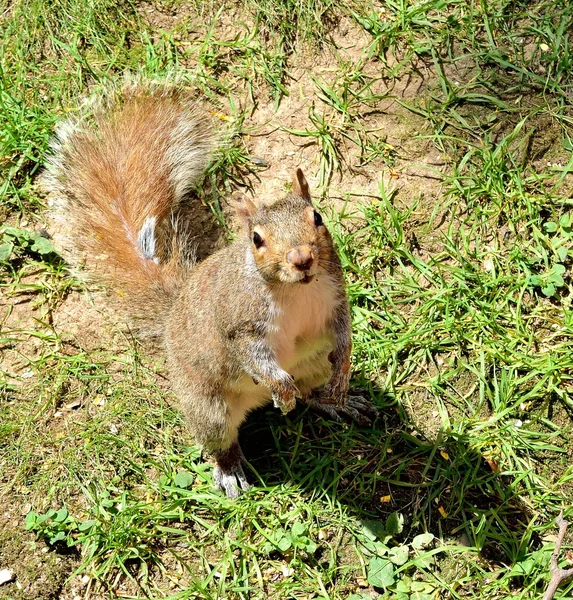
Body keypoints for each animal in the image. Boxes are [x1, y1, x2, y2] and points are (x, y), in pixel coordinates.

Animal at [42, 82, 378, 500]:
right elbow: (255, 359)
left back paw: (336, 401)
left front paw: (344, 372)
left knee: (311, 391)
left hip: (314, 363)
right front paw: (281, 390)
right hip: (208, 406)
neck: (295, 291)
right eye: (256, 239)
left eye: (317, 217)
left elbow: (344, 334)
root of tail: (173, 312)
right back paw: (232, 468)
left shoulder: (334, 295)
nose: (302, 259)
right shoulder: (239, 325)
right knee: (220, 441)